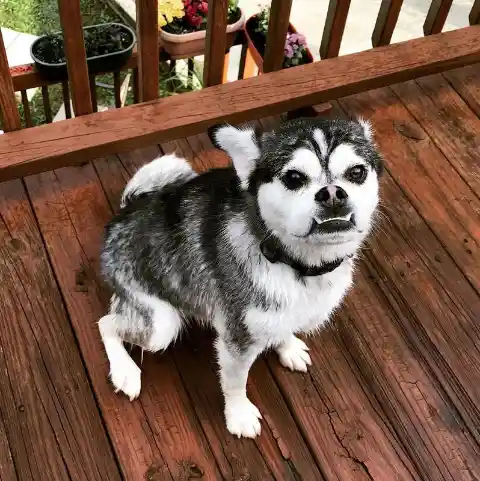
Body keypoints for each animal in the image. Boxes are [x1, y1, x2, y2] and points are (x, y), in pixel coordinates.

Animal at [99, 117, 384, 438]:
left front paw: (288, 347)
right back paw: (125, 371)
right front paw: (239, 415)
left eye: (357, 172)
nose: (332, 193)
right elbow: (236, 383)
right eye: (294, 178)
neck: (295, 264)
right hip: (161, 325)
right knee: (106, 322)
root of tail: (124, 212)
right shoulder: (237, 339)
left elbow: (283, 327)